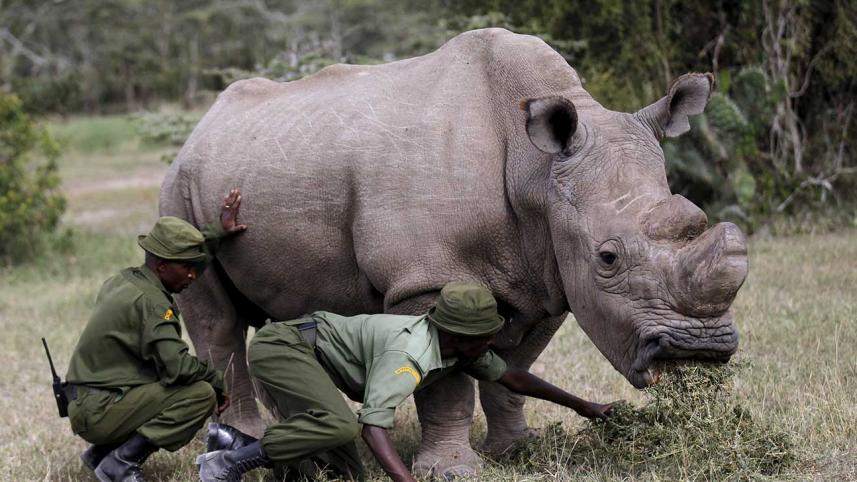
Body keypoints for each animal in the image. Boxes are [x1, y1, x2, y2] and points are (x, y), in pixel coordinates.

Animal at [160, 28, 748, 477]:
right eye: (608, 258)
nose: (699, 350)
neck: (535, 170)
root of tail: (201, 126)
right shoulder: (426, 278)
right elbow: (446, 385)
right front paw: (452, 470)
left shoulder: (545, 275)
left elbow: (514, 366)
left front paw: (515, 450)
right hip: (181, 189)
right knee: (216, 321)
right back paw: (237, 445)